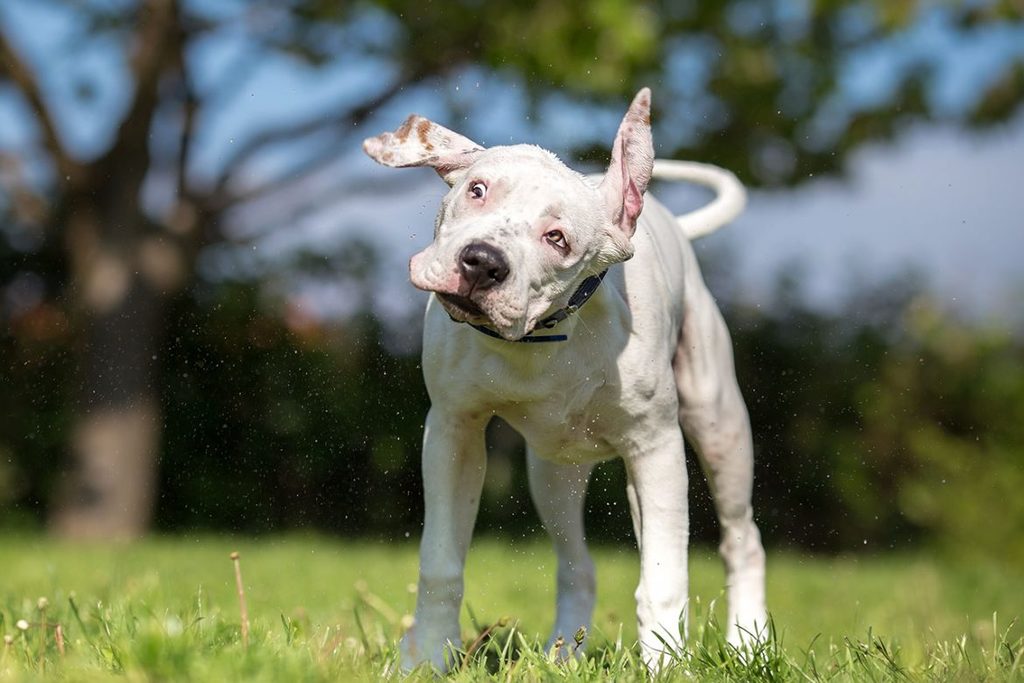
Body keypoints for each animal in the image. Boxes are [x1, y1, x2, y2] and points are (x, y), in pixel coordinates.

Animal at [364, 88, 765, 671]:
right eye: (477, 190)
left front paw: (666, 667)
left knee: (741, 540)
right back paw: (563, 655)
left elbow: (665, 578)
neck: (538, 340)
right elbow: (440, 562)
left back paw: (748, 642)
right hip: (552, 475)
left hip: (719, 429)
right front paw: (427, 660)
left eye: (557, 238)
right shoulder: (453, 434)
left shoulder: (657, 449)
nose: (482, 262)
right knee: (577, 564)